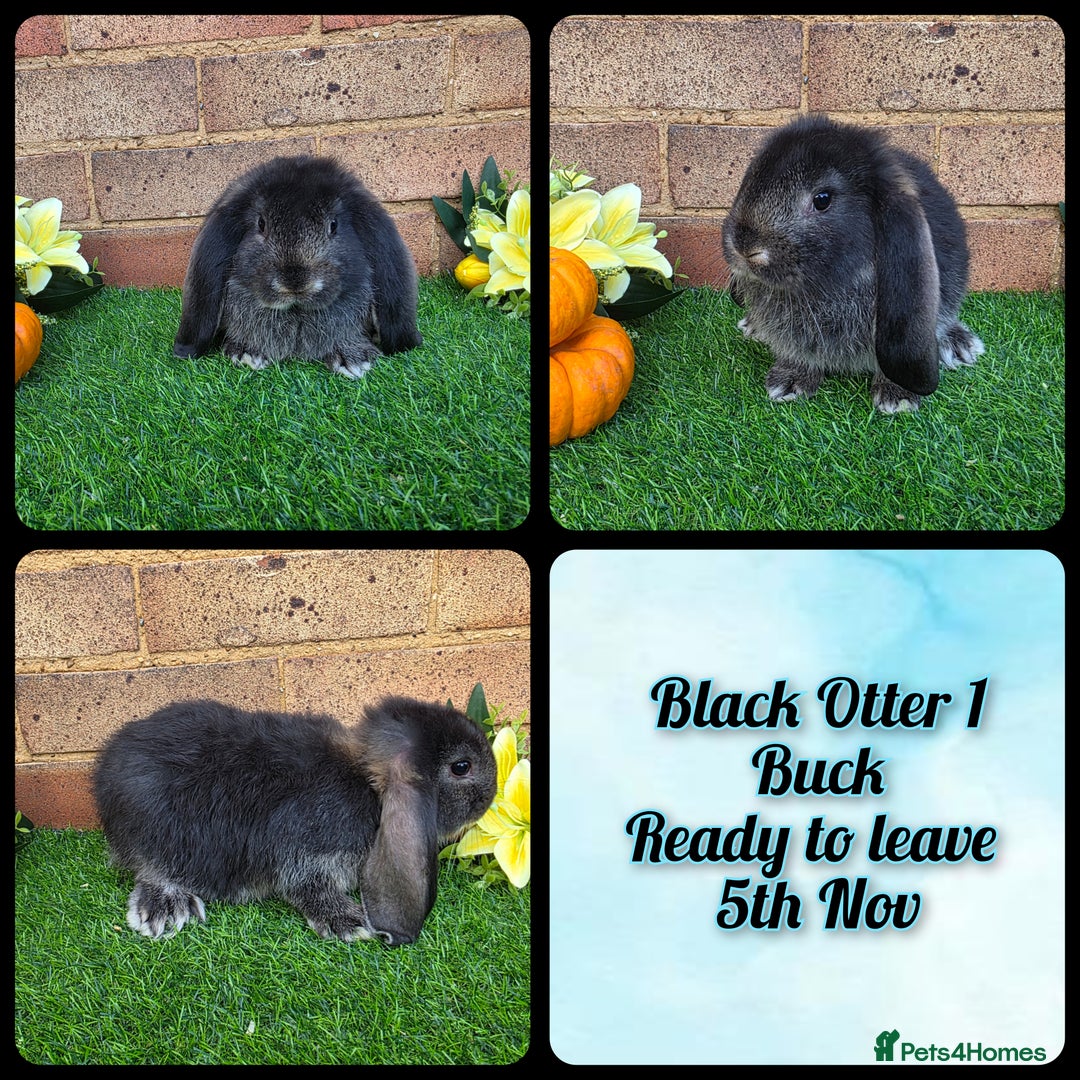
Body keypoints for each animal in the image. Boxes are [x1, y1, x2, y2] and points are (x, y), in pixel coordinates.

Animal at [92, 696, 496, 945]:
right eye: (461, 767)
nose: (491, 796)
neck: (366, 787)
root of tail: (106, 770)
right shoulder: (309, 849)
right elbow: (305, 888)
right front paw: (351, 923)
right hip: (164, 836)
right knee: (151, 868)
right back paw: (164, 908)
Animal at [722, 114, 983, 412]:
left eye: (822, 199)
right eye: (751, 178)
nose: (745, 247)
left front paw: (898, 398)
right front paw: (789, 383)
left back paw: (960, 345)